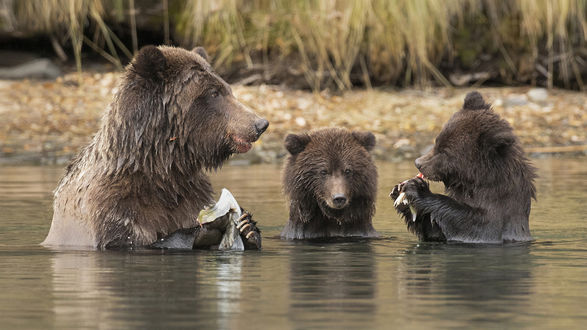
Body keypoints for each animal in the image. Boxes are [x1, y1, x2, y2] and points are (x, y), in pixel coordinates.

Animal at [42, 45, 268, 250]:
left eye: (228, 89)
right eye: (214, 92)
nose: (260, 123)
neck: (161, 167)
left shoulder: (190, 193)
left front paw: (247, 226)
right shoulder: (111, 208)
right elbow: (131, 240)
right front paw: (206, 227)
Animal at [392, 91, 536, 244]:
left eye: (445, 151)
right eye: (437, 141)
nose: (418, 163)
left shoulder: (495, 217)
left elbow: (469, 223)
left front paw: (417, 189)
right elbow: (433, 230)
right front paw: (399, 194)